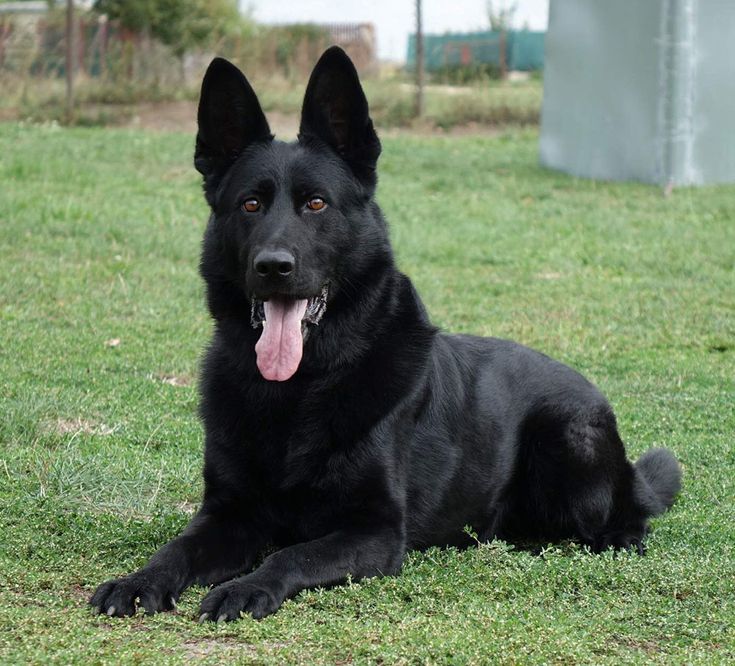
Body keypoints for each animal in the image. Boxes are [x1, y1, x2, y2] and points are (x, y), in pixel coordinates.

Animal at [92, 48, 684, 624]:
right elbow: (177, 548)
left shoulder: (374, 531)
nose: (274, 266)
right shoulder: (228, 513)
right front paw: (139, 580)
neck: (300, 387)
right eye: (250, 204)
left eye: (316, 203)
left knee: (629, 523)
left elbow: (291, 554)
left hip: (568, 440)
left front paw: (246, 587)